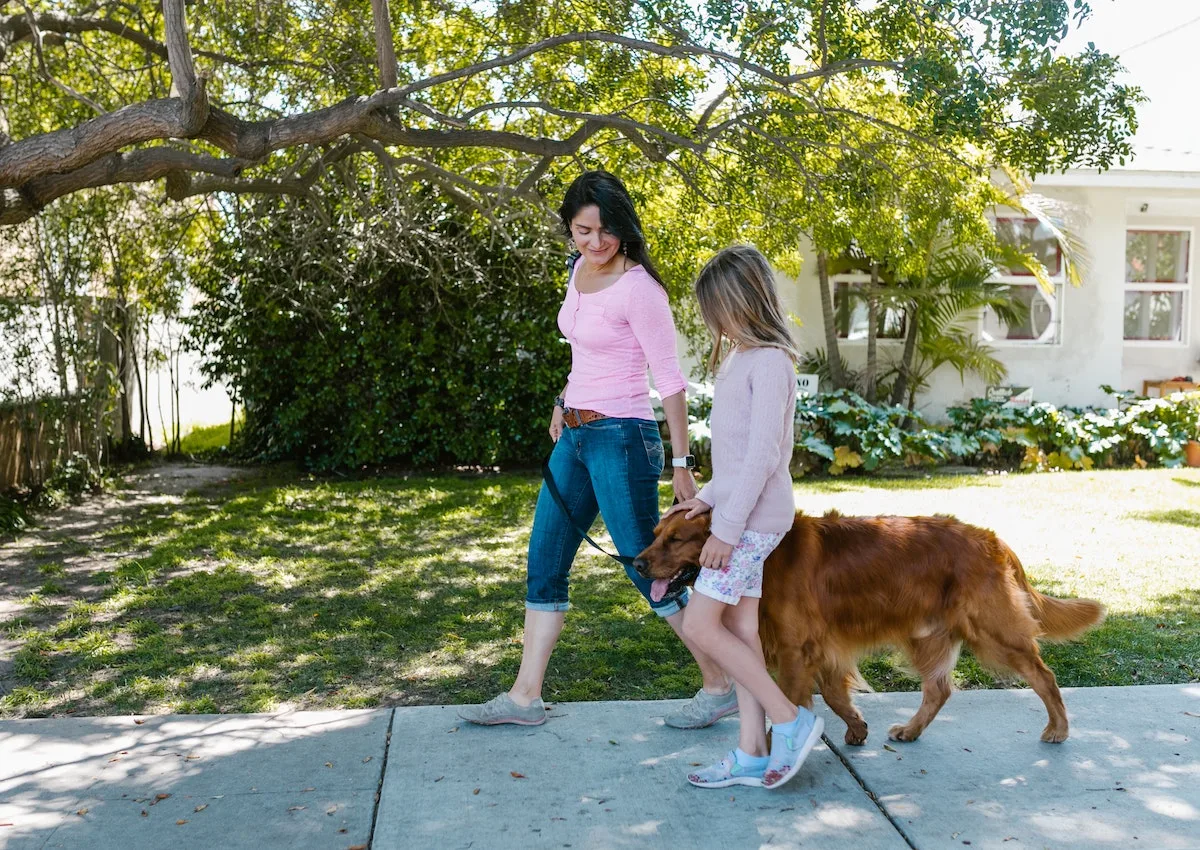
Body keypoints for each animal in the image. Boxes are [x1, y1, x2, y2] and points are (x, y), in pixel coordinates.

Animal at [638, 511, 1104, 744]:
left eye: (677, 539)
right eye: (656, 532)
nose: (637, 563)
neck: (761, 556)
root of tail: (991, 538)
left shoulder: (796, 649)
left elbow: (791, 701)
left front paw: (779, 746)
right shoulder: (819, 647)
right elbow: (832, 694)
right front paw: (856, 727)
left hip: (993, 631)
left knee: (1044, 676)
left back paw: (1059, 729)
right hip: (925, 634)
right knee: (939, 689)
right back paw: (912, 731)